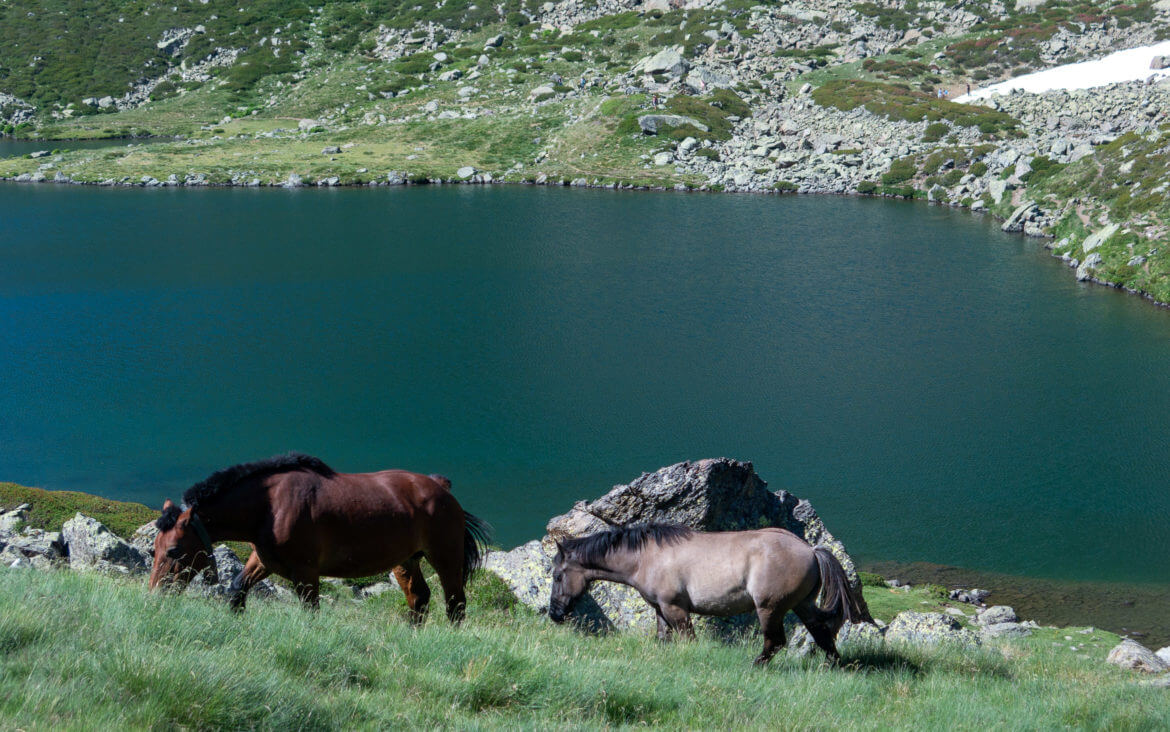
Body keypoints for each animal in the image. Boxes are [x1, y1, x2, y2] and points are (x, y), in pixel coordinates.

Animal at [149, 453, 491, 623]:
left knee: (455, 604)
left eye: (174, 551)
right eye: (154, 549)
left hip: (445, 556)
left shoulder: (306, 572)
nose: (153, 595)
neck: (270, 506)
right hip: (406, 560)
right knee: (419, 599)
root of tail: (440, 487)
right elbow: (237, 590)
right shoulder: (264, 560)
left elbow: (310, 611)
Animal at [548, 524, 872, 665]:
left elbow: (687, 640)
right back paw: (833, 666)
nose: (554, 614)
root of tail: (811, 550)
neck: (645, 556)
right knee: (822, 634)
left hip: (770, 609)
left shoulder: (676, 609)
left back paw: (755, 666)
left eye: (557, 575)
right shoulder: (660, 609)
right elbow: (663, 639)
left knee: (775, 642)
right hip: (802, 605)